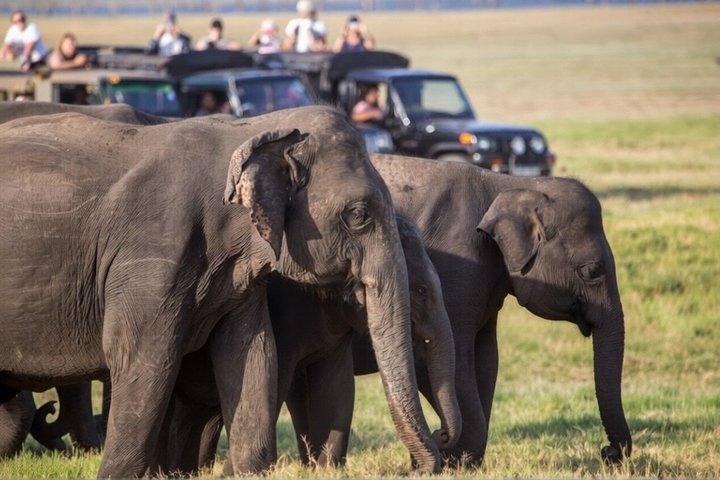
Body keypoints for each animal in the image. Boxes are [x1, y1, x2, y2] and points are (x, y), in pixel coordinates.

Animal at [160, 215, 461, 474]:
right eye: (420, 291)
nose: (441, 434)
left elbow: (338, 386)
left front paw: (327, 469)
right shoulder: (283, 314)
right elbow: (277, 380)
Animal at [336, 154, 633, 466]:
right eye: (591, 271)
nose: (607, 452)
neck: (509, 184)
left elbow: (488, 359)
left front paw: (462, 461)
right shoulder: (456, 269)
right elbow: (449, 360)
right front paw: (454, 461)